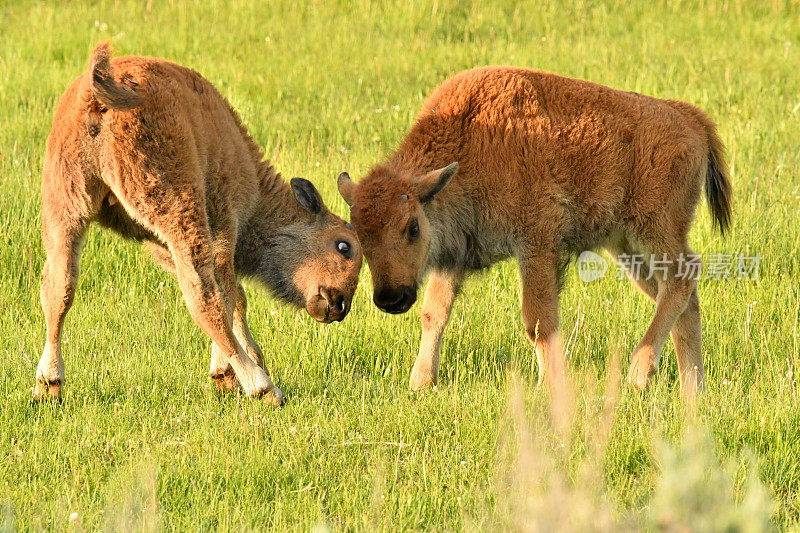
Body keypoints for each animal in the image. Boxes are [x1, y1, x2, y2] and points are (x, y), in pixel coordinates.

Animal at [36, 43, 362, 402]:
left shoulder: (159, 243)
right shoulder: (223, 222)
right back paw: (262, 388)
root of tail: (102, 94)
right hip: (179, 208)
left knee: (59, 287)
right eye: (344, 247)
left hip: (63, 209)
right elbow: (230, 293)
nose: (339, 305)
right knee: (202, 299)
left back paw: (48, 385)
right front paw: (228, 372)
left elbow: (236, 297)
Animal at [338, 66, 732, 396]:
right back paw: (692, 389)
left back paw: (639, 372)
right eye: (360, 238)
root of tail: (690, 118)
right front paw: (420, 383)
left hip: (655, 227)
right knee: (682, 296)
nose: (390, 299)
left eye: (412, 226)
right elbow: (435, 313)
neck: (471, 142)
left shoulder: (538, 242)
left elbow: (538, 319)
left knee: (683, 276)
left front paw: (550, 386)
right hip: (626, 246)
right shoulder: (455, 255)